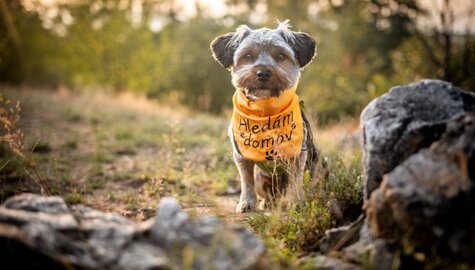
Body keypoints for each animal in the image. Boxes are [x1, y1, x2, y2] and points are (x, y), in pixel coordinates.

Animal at [211, 21, 320, 213]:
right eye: (248, 56)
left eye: (280, 56)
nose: (263, 72)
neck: (265, 111)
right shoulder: (241, 154)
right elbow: (247, 181)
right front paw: (246, 203)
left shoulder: (298, 156)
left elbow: (295, 183)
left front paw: (296, 203)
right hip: (262, 178)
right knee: (268, 193)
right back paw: (266, 203)